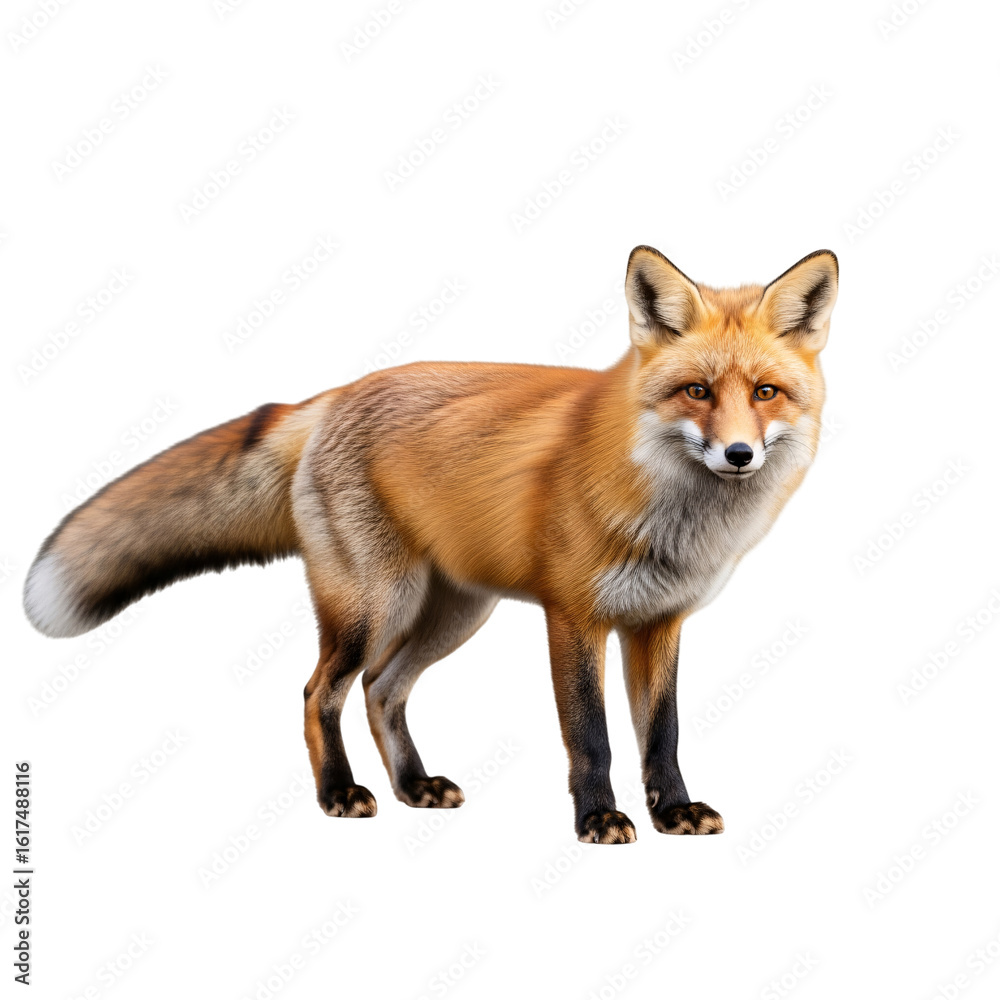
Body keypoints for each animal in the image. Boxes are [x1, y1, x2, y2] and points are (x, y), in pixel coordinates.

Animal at [24, 245, 838, 844]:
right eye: (697, 392)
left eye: (765, 393)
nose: (739, 455)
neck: (669, 514)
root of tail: (331, 397)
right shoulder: (573, 618)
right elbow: (592, 736)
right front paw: (598, 819)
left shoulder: (658, 622)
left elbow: (660, 734)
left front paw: (673, 811)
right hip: (372, 606)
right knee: (322, 691)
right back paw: (339, 793)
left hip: (451, 614)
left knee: (383, 690)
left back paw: (413, 785)